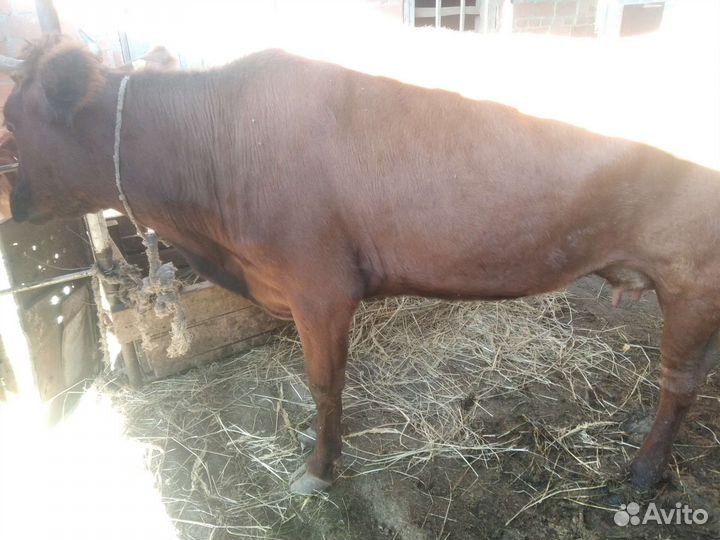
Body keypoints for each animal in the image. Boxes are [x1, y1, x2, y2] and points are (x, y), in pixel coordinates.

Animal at [3, 36, 719, 495]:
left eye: (10, 115)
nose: (15, 203)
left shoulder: (319, 287)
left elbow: (325, 384)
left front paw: (319, 470)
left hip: (693, 276)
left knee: (680, 381)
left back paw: (644, 472)